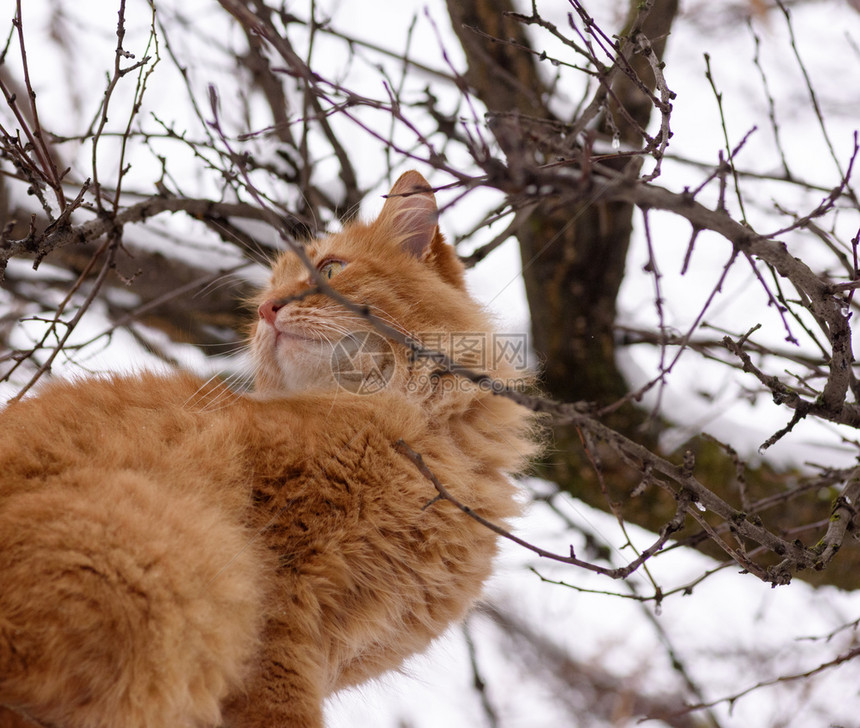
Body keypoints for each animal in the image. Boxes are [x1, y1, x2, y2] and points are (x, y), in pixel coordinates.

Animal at [0, 173, 536, 728]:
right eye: (268, 292)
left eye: (330, 270)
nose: (266, 310)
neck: (418, 433)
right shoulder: (281, 598)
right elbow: (279, 704)